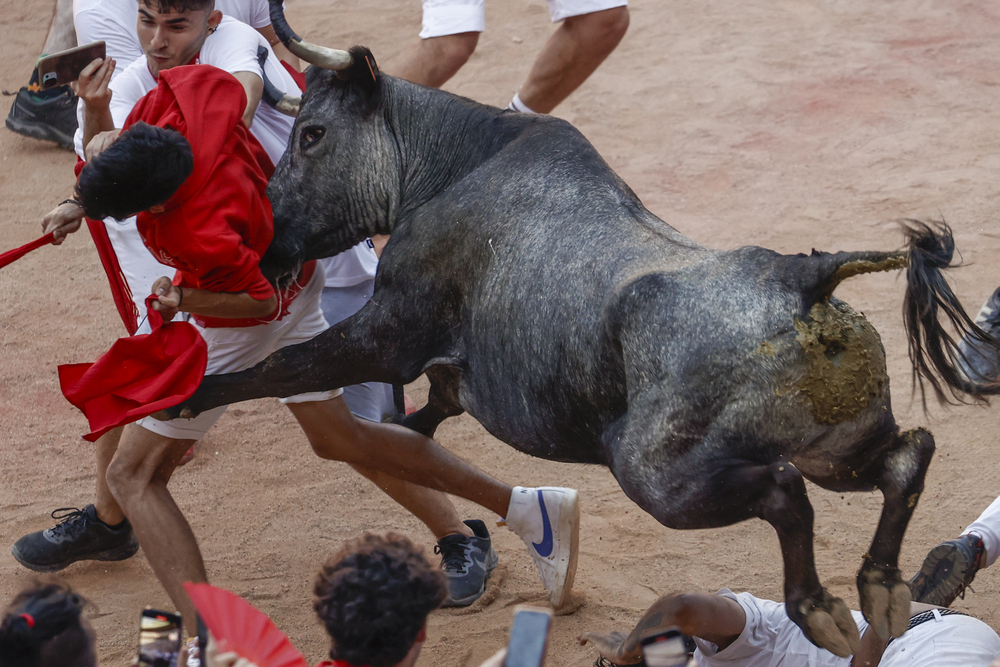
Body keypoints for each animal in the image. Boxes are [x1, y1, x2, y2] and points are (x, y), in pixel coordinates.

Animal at [174, 1, 1000, 656]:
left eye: (312, 134)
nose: (270, 244)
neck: (447, 164)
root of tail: (804, 278)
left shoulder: (387, 331)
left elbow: (281, 368)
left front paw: (187, 394)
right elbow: (427, 411)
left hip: (657, 473)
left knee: (785, 491)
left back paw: (822, 607)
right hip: (838, 448)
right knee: (906, 455)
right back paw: (882, 587)